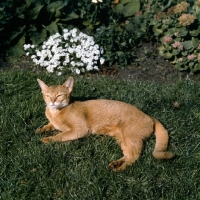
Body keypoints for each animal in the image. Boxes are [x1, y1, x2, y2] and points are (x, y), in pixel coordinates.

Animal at [36, 77, 174, 171]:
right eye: (47, 96)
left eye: (59, 95)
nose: (52, 102)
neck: (56, 113)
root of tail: (150, 117)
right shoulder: (54, 122)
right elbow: (49, 125)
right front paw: (41, 129)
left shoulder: (80, 130)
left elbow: (61, 135)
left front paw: (48, 139)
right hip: (123, 139)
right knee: (129, 154)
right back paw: (116, 163)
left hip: (130, 137)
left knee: (135, 156)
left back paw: (120, 168)